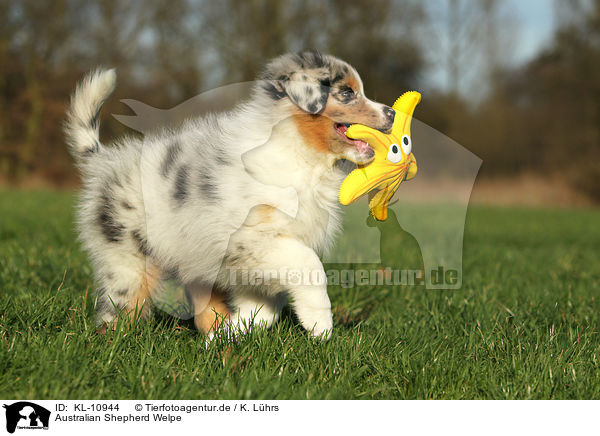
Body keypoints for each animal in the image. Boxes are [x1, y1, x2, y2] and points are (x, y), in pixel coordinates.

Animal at [64, 49, 394, 338]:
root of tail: (105, 161)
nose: (391, 112)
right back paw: (113, 344)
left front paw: (231, 332)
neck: (301, 152)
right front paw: (320, 323)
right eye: (347, 93)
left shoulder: (248, 260)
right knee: (118, 310)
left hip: (192, 258)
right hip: (127, 259)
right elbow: (309, 265)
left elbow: (265, 309)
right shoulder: (250, 239)